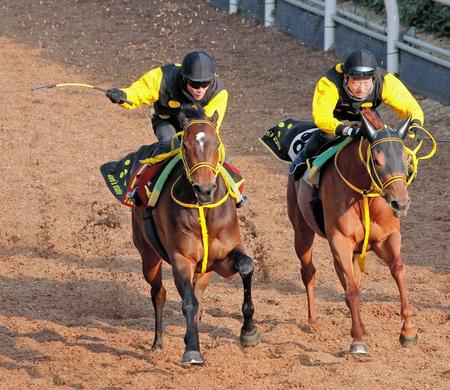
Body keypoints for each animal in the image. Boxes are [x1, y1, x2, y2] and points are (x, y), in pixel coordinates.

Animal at [132, 105, 260, 364]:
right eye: (185, 146)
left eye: (216, 143)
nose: (204, 189)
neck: (204, 212)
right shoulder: (182, 259)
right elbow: (188, 303)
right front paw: (192, 350)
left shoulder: (221, 260)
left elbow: (246, 266)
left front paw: (249, 331)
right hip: (148, 257)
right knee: (159, 293)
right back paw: (158, 342)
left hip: (204, 272)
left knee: (197, 296)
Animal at [288, 111, 418, 354]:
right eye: (376, 160)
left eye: (406, 159)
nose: (401, 203)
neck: (364, 196)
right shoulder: (341, 241)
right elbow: (352, 289)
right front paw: (357, 340)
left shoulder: (387, 238)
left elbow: (398, 270)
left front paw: (408, 331)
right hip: (301, 232)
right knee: (309, 272)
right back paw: (313, 320)